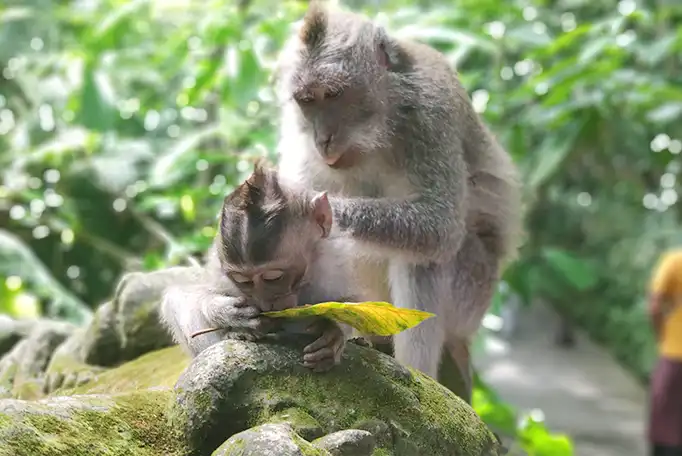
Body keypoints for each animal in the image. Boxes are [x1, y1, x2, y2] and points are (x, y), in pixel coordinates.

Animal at [160, 162, 362, 372]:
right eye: (244, 281)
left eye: (274, 277)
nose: (267, 303)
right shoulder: (219, 270)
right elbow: (193, 293)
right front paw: (226, 312)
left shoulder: (337, 259)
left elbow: (351, 304)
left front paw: (332, 330)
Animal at [274, 2, 516, 402]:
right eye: (306, 101)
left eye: (334, 95)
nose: (323, 138)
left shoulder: (432, 115)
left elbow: (441, 226)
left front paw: (309, 209)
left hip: (473, 291)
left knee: (426, 258)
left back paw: (418, 378)